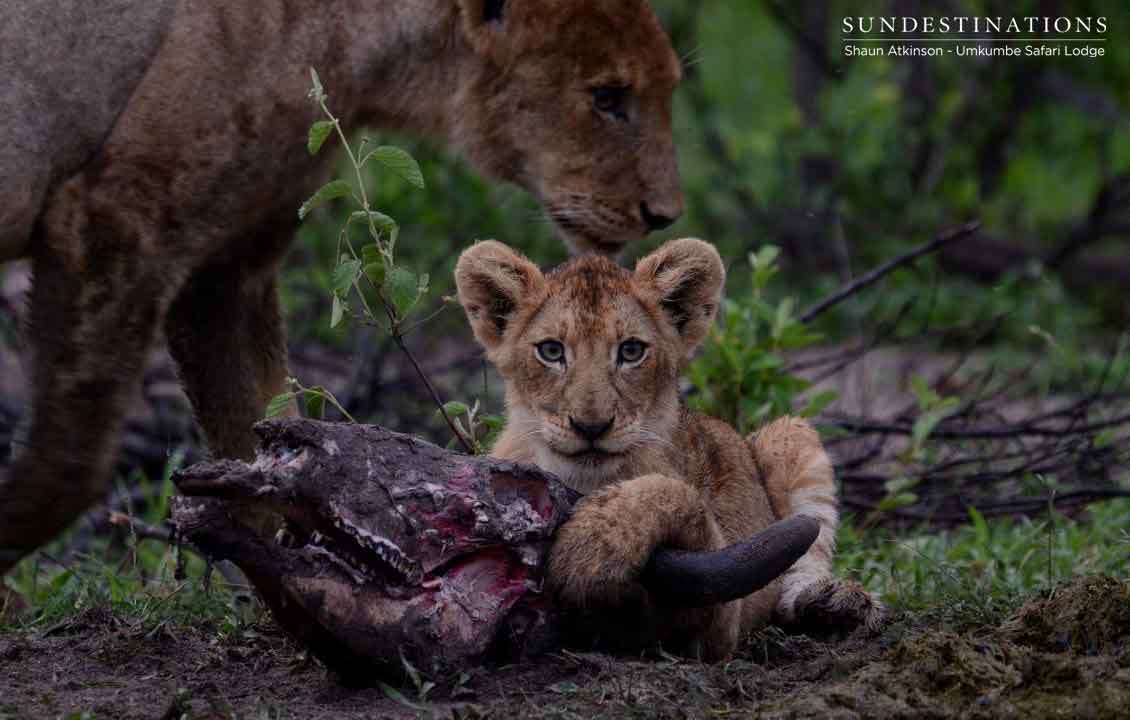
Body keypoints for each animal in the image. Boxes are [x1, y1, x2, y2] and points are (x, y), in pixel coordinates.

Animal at [0, 0, 684, 577]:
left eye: (665, 89)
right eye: (607, 97)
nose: (665, 214)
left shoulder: (226, 267)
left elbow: (263, 432)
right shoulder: (117, 218)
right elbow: (68, 468)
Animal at [454, 238, 884, 660]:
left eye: (631, 351)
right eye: (551, 351)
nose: (591, 426)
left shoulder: (720, 621)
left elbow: (675, 494)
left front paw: (590, 547)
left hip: (790, 431)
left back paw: (834, 603)